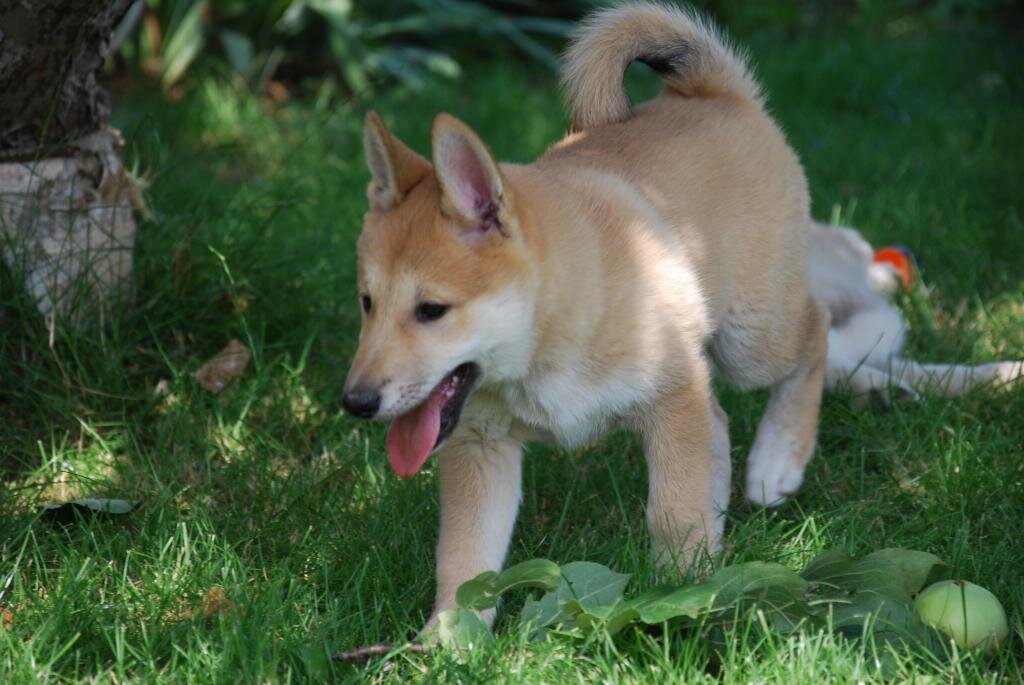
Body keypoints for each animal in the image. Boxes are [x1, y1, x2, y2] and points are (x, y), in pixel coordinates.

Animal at [344, 2, 831, 626]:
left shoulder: (673, 394)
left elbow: (673, 511)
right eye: (368, 303)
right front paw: (448, 638)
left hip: (752, 337)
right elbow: (465, 561)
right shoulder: (480, 445)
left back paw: (777, 460)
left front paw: (678, 595)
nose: (355, 402)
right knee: (722, 422)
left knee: (817, 331)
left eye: (432, 310)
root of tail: (713, 91)